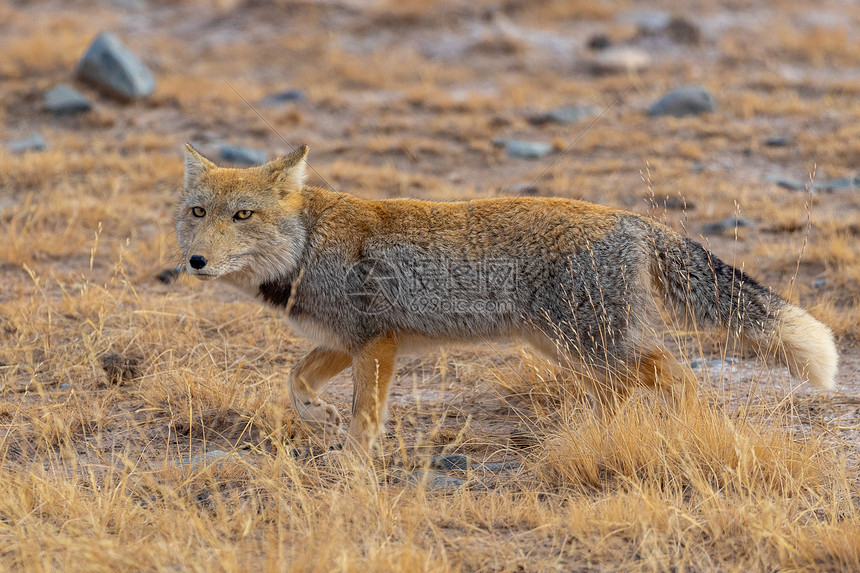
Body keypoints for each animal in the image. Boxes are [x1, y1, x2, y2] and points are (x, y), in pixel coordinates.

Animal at [176, 143, 840, 452]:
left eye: (243, 215)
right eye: (199, 213)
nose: (195, 262)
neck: (308, 245)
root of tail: (631, 219)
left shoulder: (375, 343)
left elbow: (367, 416)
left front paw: (354, 463)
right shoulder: (346, 341)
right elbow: (295, 381)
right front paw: (321, 419)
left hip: (597, 344)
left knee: (677, 372)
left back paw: (692, 429)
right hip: (573, 349)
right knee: (630, 389)